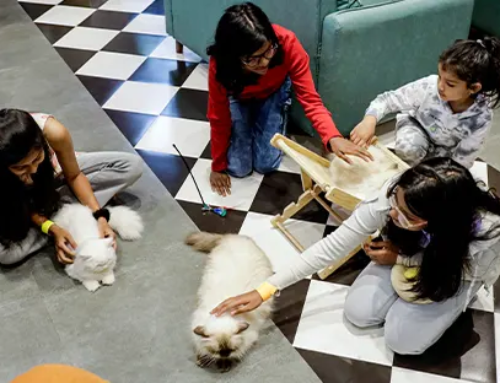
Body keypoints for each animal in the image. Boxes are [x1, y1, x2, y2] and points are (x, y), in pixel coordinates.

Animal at [186, 232, 274, 374]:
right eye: (217, 351)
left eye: (230, 350)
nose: (225, 354)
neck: (224, 313)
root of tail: (234, 236)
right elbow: (201, 346)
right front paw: (202, 358)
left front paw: (225, 364)